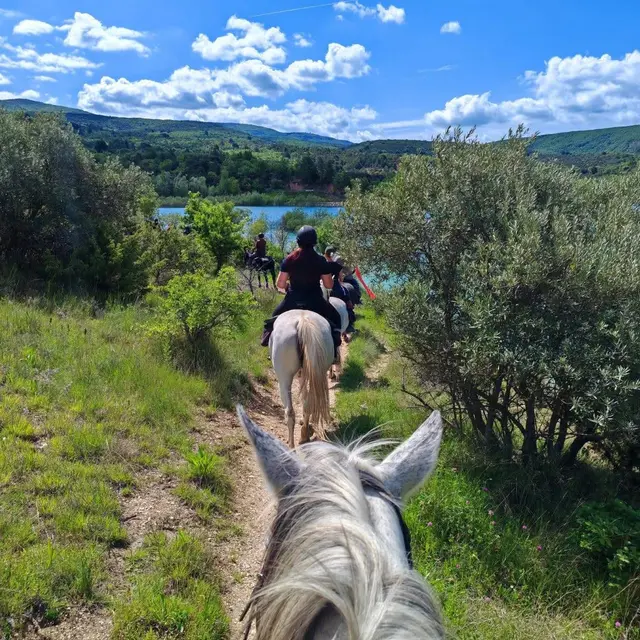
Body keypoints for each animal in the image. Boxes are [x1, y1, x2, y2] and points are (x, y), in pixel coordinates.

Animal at [269, 310, 334, 448]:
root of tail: (302, 321)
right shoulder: (304, 374)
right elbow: (304, 399)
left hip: (283, 379)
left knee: (289, 412)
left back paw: (292, 445)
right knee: (308, 403)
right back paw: (303, 436)